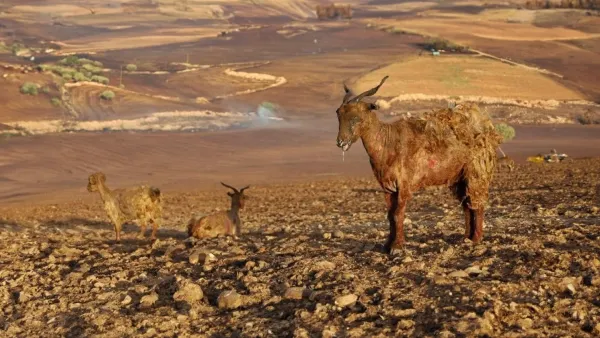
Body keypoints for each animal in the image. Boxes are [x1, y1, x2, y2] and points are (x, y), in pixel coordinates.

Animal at [338, 76, 502, 255]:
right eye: (338, 114)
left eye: (356, 117)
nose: (341, 142)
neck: (387, 142)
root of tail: (486, 129)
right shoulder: (388, 187)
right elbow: (389, 215)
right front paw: (387, 245)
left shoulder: (404, 184)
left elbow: (398, 214)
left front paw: (397, 247)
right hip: (459, 177)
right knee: (467, 205)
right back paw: (466, 237)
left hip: (476, 172)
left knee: (477, 204)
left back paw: (476, 239)